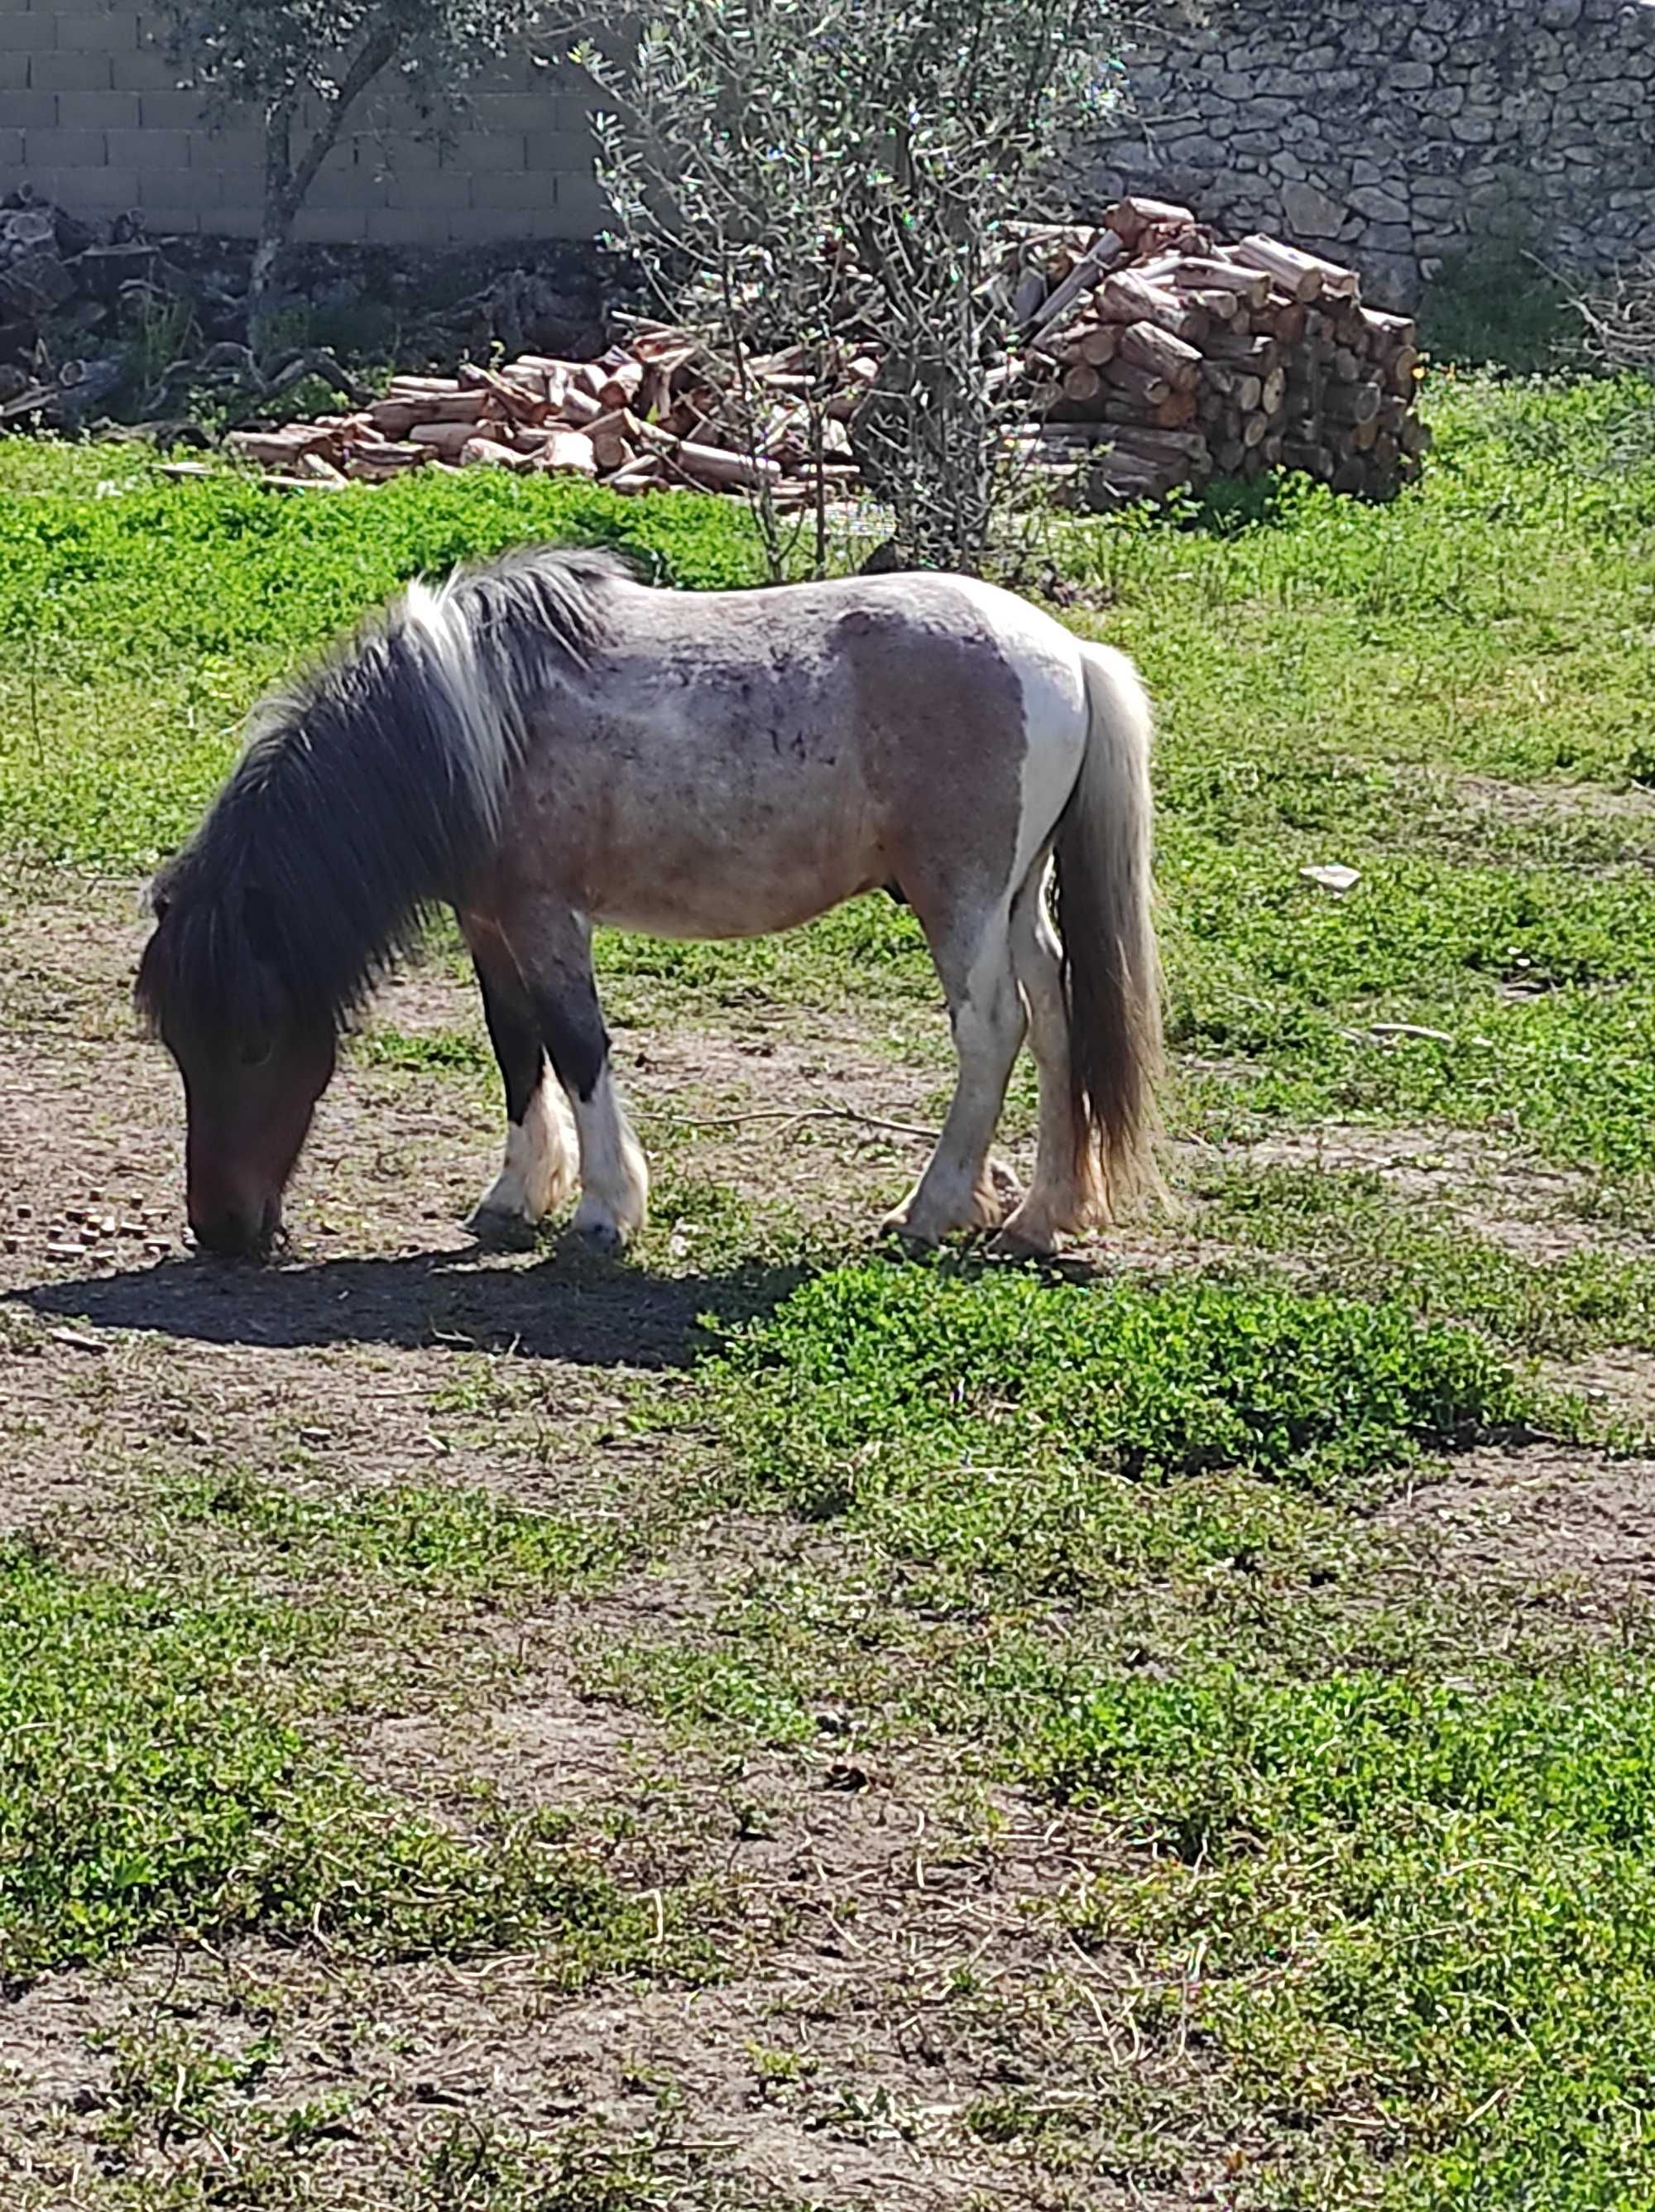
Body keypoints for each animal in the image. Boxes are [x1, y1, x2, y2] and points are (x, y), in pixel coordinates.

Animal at [132, 548, 1159, 1264]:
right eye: (178, 1044)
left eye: (255, 1043)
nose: (220, 1229)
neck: (469, 731)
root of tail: (1064, 652)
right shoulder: (489, 923)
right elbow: (516, 1049)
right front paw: (515, 1199)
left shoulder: (547, 917)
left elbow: (577, 1045)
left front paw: (601, 1213)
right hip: (1014, 902)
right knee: (1057, 1019)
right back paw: (1038, 1217)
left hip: (961, 900)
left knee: (993, 1030)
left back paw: (931, 1209)